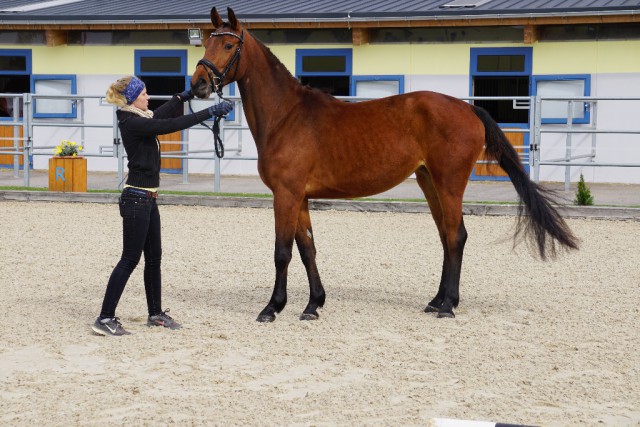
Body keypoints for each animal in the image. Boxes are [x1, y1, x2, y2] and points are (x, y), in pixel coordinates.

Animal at [190, 6, 580, 322]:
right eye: (206, 44)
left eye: (228, 45)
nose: (198, 85)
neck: (287, 115)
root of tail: (467, 108)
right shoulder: (299, 197)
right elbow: (307, 249)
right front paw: (314, 304)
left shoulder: (285, 194)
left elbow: (282, 252)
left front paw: (272, 308)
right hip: (429, 182)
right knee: (445, 235)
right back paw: (436, 301)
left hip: (449, 183)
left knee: (456, 236)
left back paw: (448, 306)